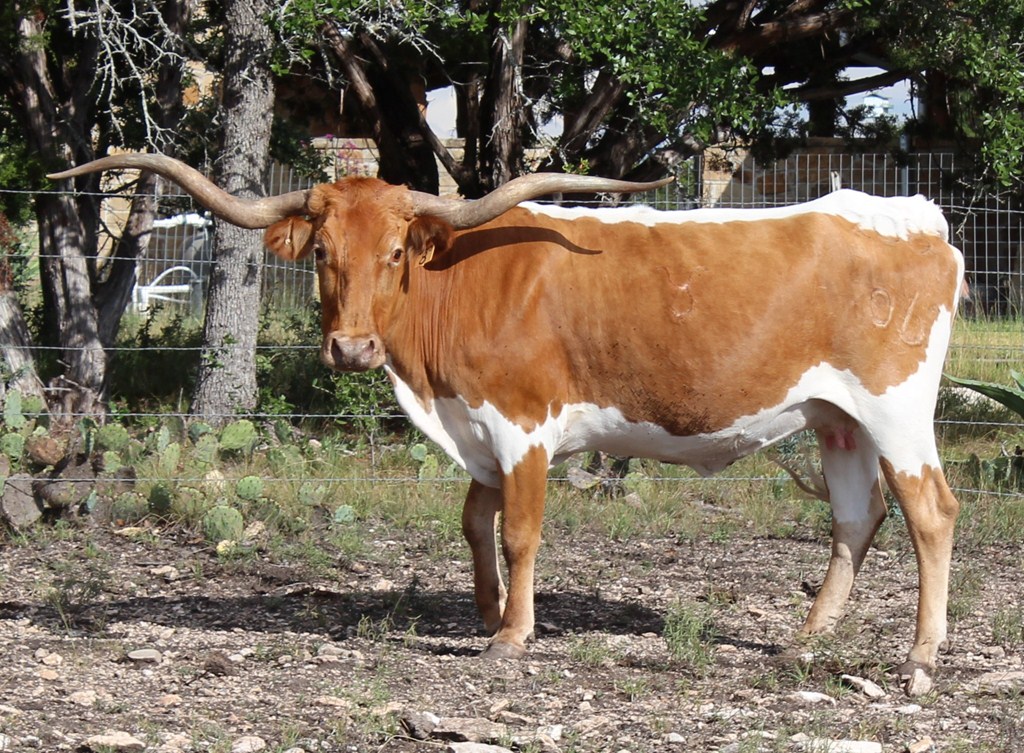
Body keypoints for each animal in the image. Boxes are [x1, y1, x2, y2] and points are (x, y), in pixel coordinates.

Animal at [50, 154, 964, 696]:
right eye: (320, 254)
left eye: (395, 252)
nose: (351, 347)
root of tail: (917, 214)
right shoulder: (477, 432)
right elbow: (473, 518)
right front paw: (487, 613)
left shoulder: (524, 425)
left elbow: (520, 529)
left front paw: (513, 636)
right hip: (836, 418)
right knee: (856, 518)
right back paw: (801, 645)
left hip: (895, 411)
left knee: (930, 513)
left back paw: (919, 660)